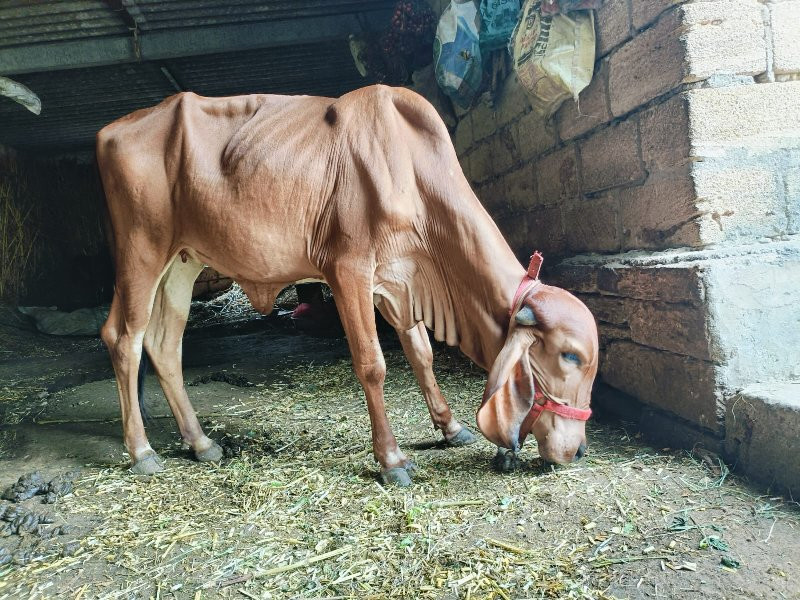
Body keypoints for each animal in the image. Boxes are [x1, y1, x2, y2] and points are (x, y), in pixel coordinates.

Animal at [97, 85, 596, 488]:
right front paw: (392, 460)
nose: (578, 450)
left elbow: (421, 353)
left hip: (183, 262)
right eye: (569, 355)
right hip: (142, 252)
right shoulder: (349, 269)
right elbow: (373, 365)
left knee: (165, 345)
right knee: (124, 338)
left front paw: (451, 427)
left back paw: (200, 442)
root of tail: (113, 129)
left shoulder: (397, 281)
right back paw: (142, 451)